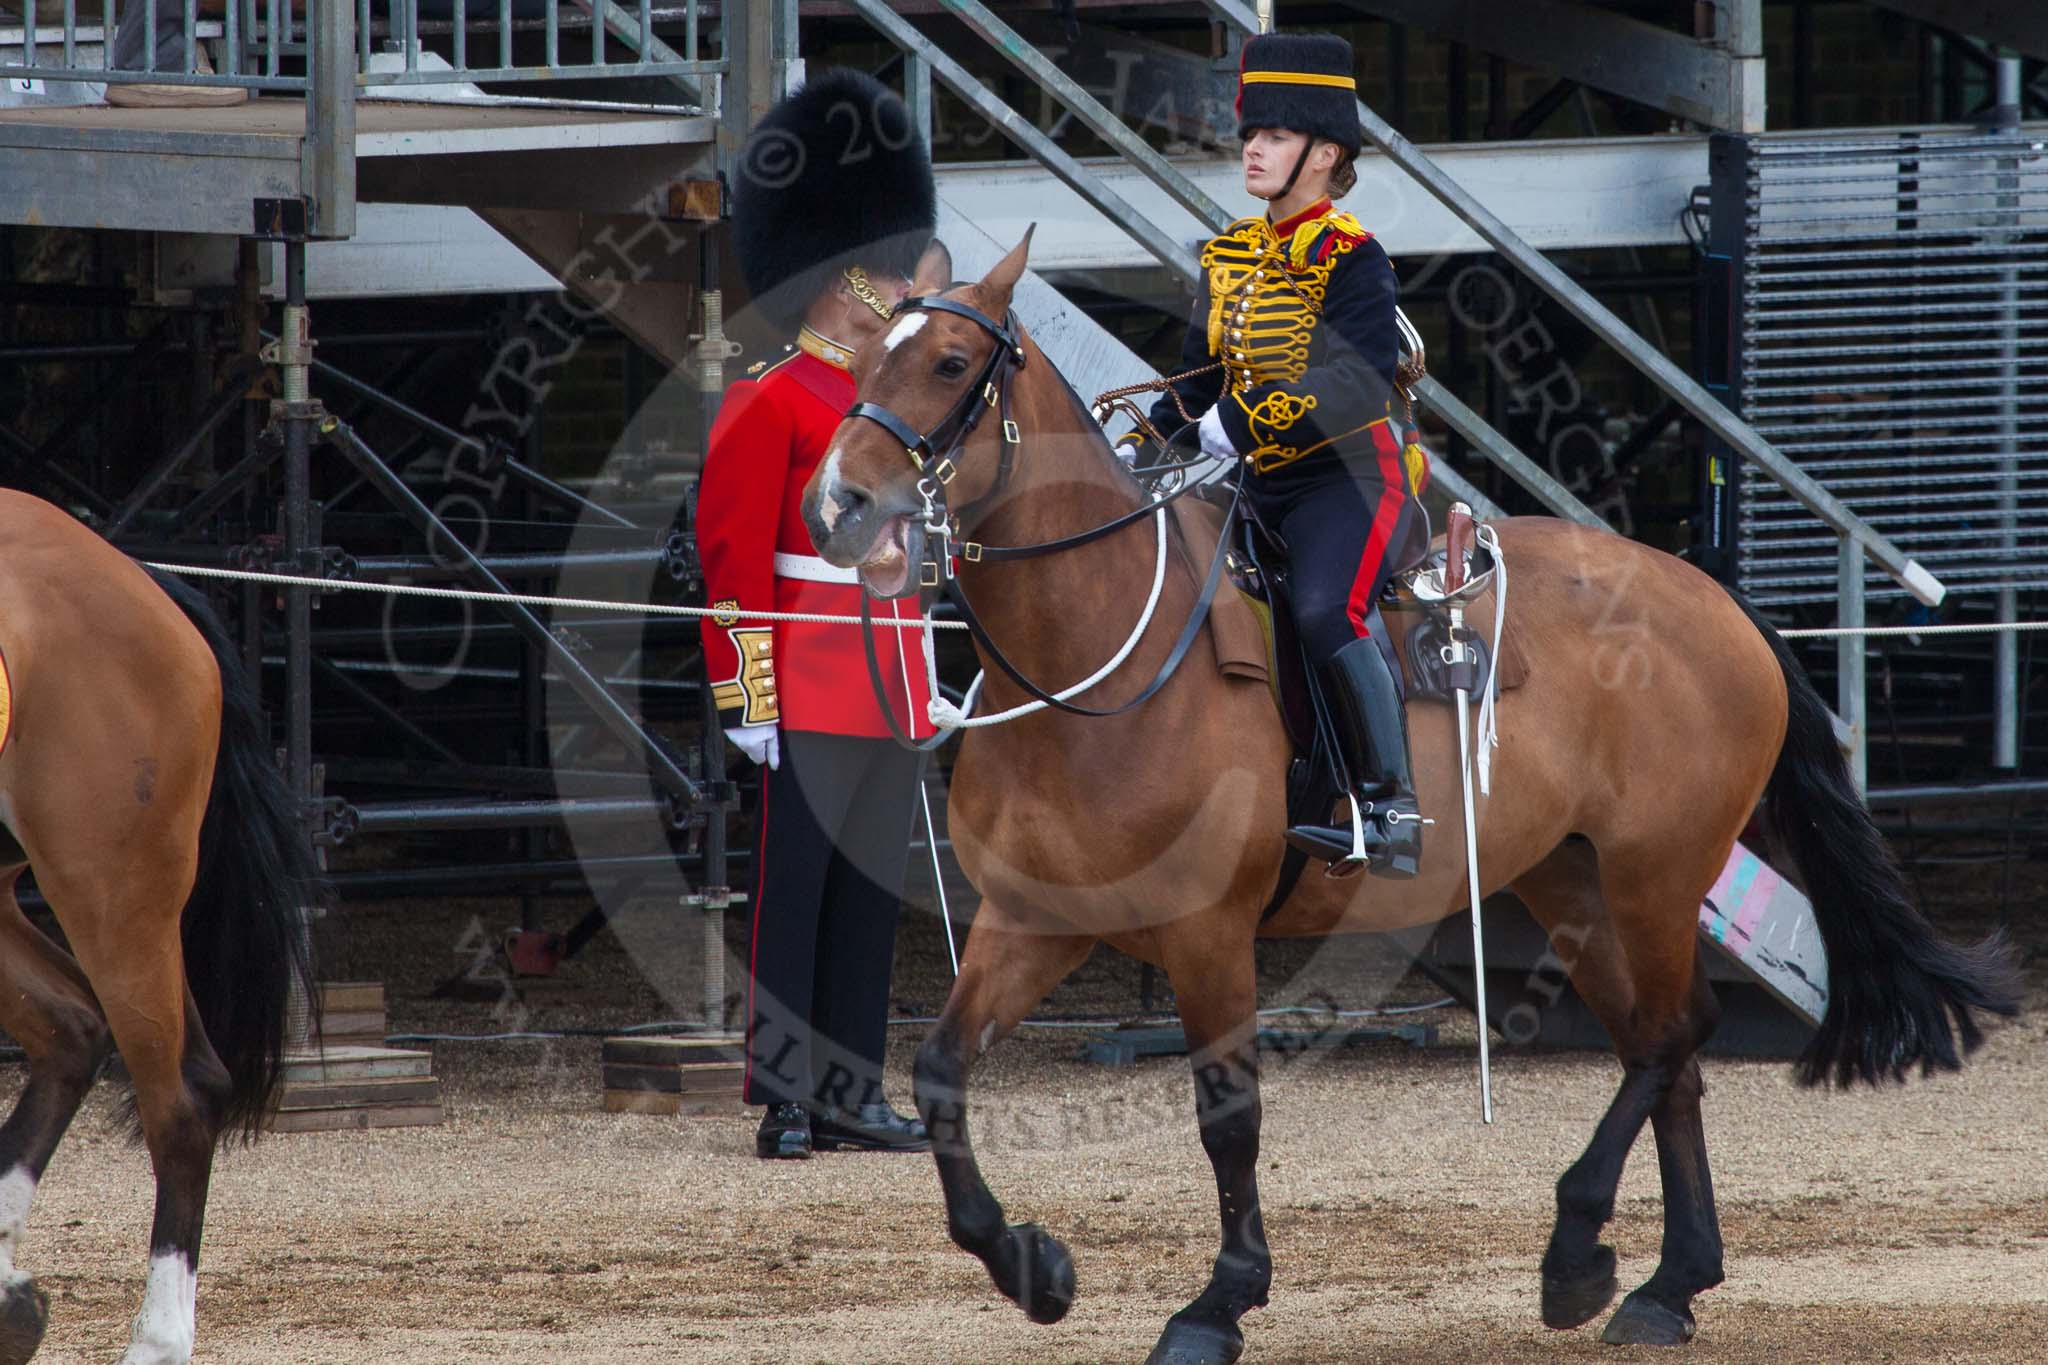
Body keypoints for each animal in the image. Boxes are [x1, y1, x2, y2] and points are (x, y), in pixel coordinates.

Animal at [800, 234, 2021, 1363]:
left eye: (951, 361)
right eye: (870, 354)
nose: (836, 503)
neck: (1097, 656)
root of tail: (1709, 597)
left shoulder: (1207, 934)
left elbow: (1228, 1115)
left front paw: (1218, 1303)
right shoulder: (1035, 921)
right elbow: (942, 1072)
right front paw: (1033, 1265)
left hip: (1656, 871)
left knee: (1677, 1034)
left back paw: (1580, 1248)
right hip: (1575, 881)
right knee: (1661, 1050)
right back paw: (1667, 1284)